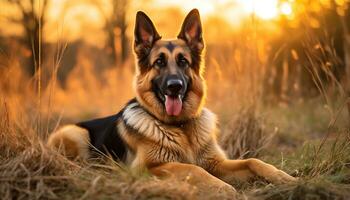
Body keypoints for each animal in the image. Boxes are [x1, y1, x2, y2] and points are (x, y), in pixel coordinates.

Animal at [47, 9, 296, 191]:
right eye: (159, 62)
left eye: (183, 61)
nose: (174, 86)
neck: (180, 127)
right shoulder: (147, 168)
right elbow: (194, 169)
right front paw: (223, 188)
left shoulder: (216, 162)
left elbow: (254, 161)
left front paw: (285, 178)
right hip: (75, 133)